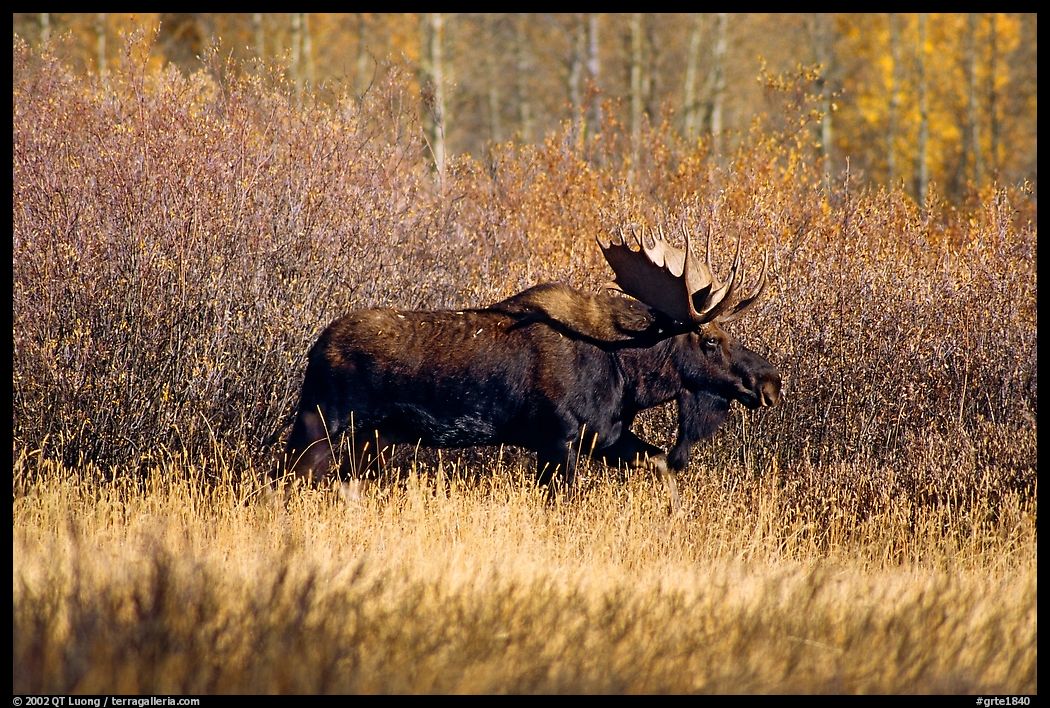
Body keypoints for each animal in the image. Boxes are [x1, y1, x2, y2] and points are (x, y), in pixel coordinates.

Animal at [281, 221, 782, 508]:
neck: (627, 377)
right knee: (285, 479)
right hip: (320, 422)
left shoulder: (605, 436)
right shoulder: (558, 439)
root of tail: (315, 348)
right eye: (711, 340)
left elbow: (659, 462)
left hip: (370, 439)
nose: (770, 382)